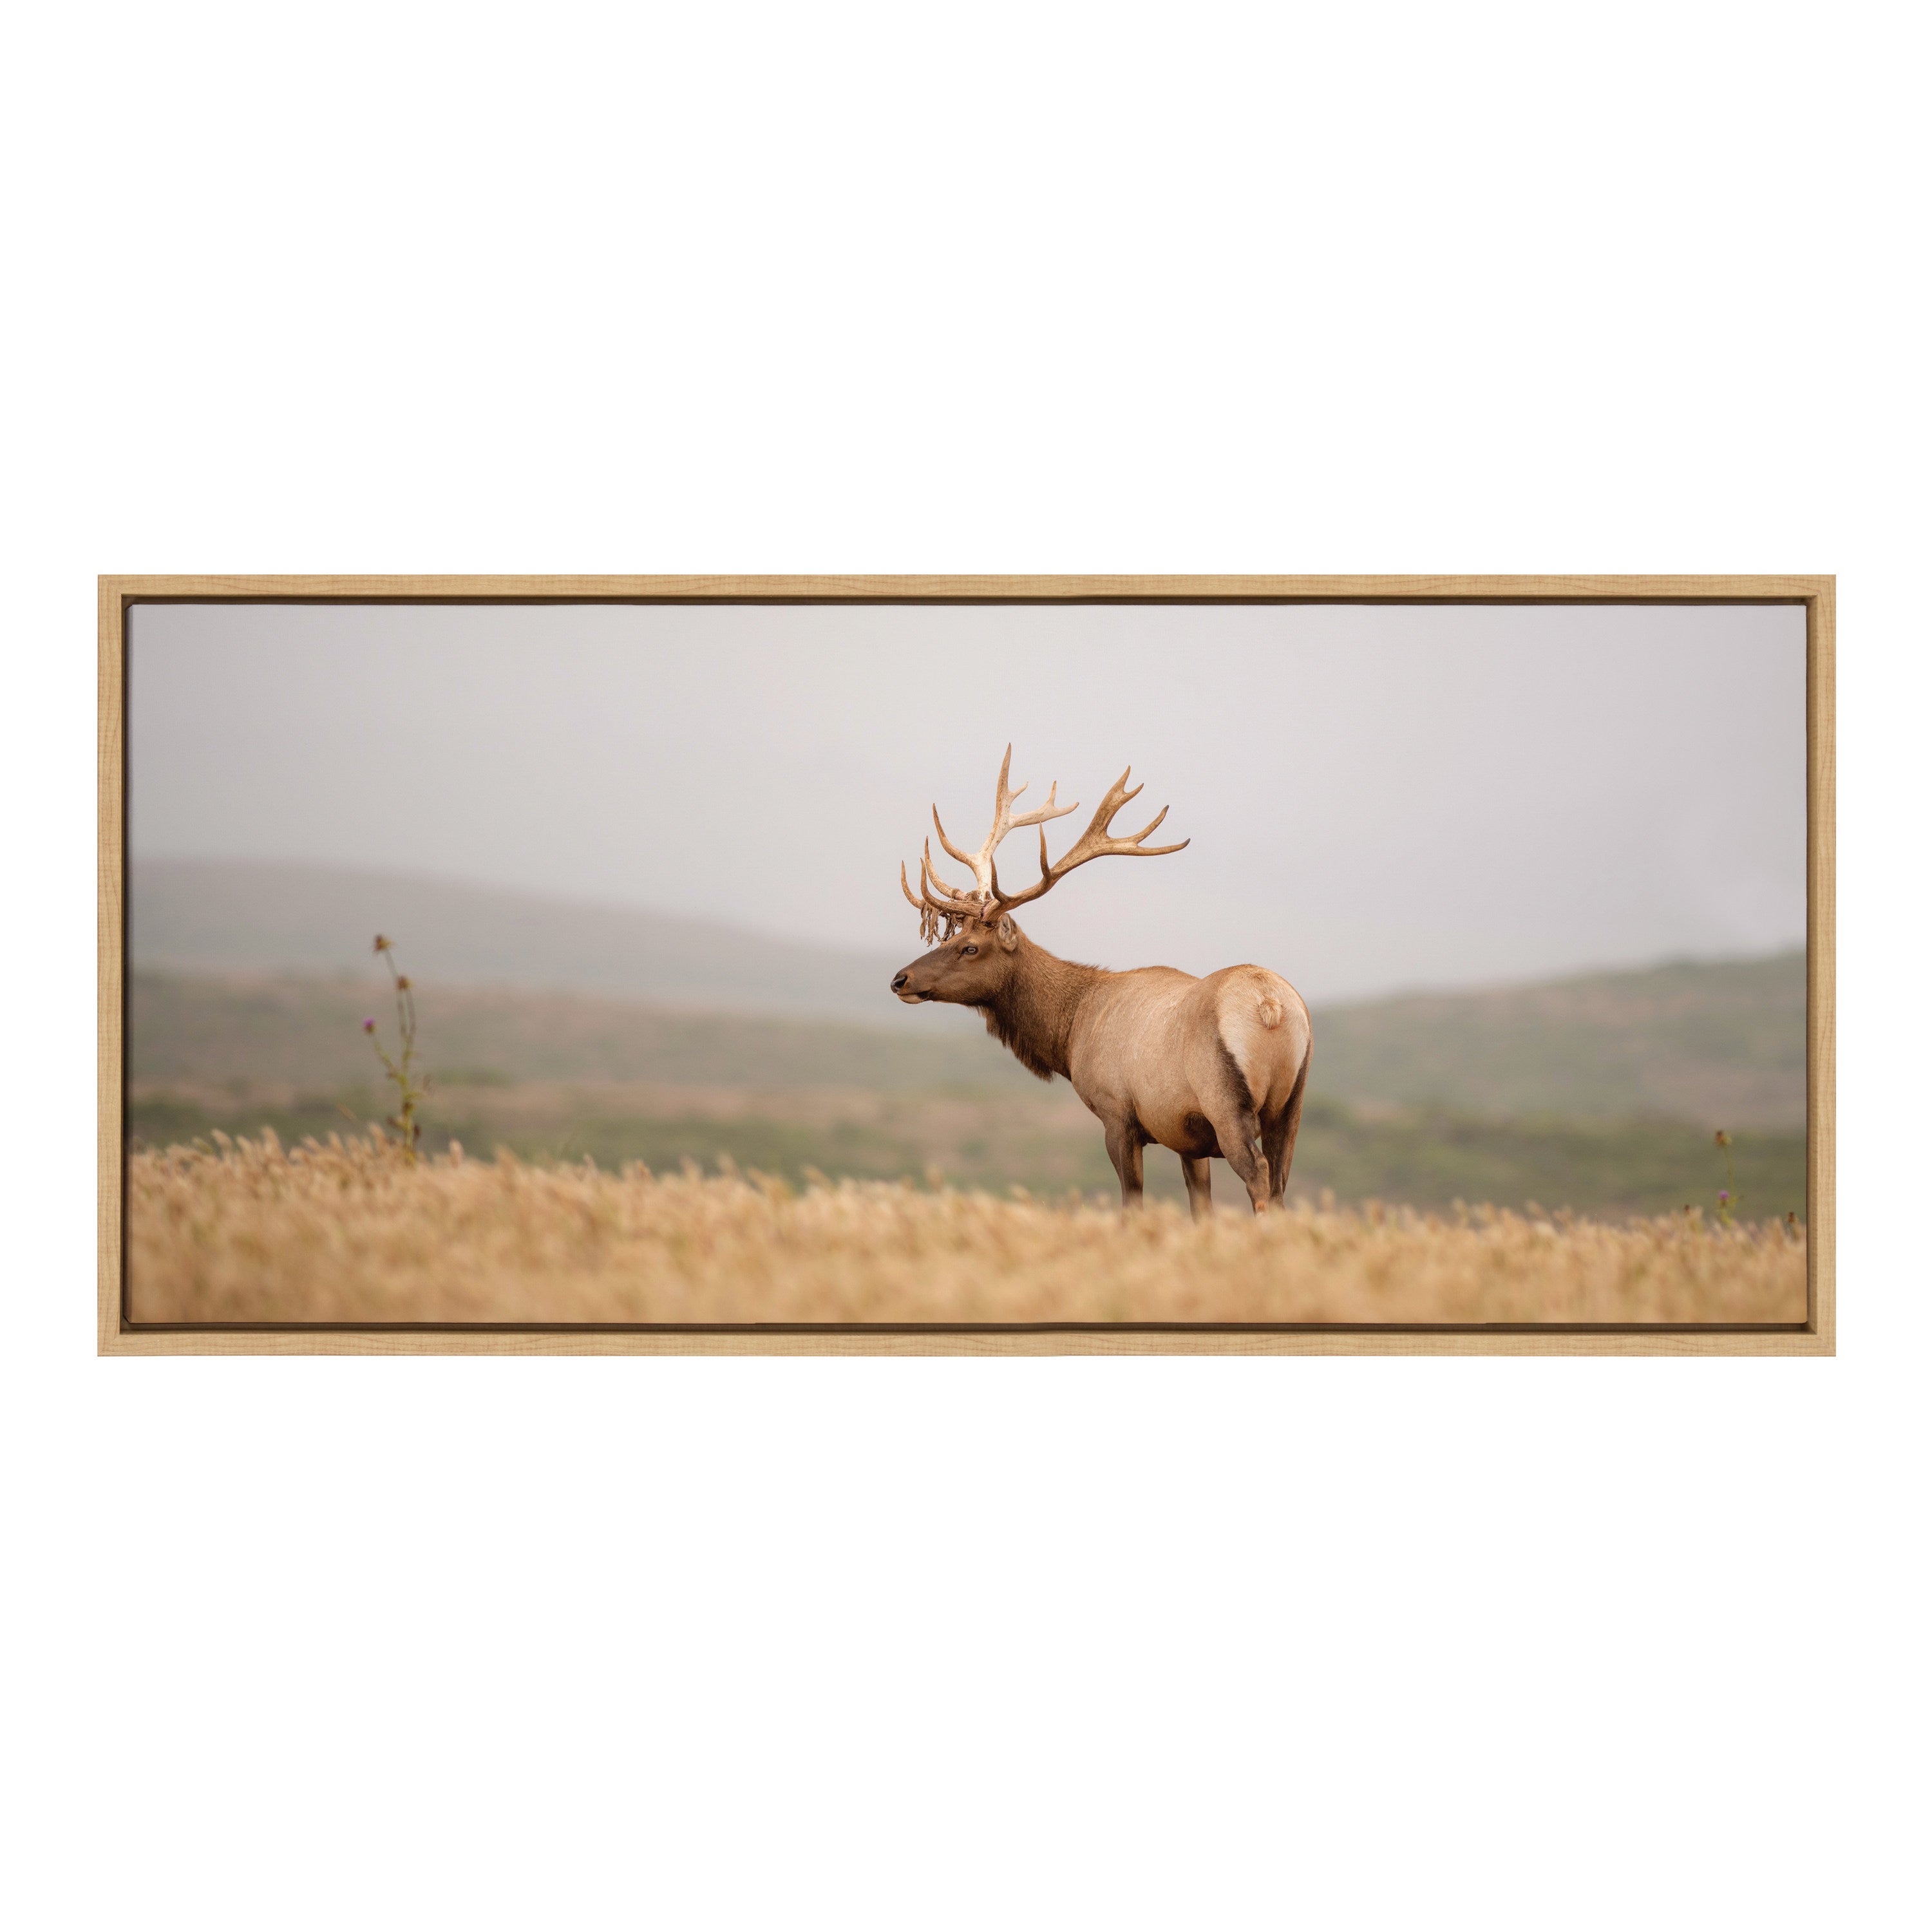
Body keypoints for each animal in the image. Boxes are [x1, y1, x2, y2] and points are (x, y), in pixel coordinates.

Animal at [892, 748, 1312, 1220]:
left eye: (970, 948)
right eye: (950, 937)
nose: (901, 979)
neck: (1071, 1030)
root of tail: (1270, 1005)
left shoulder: (1118, 1114)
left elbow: (1132, 1202)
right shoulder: (1187, 1136)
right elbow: (1199, 1208)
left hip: (1226, 1101)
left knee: (1259, 1178)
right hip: (1291, 1105)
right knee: (1279, 1183)